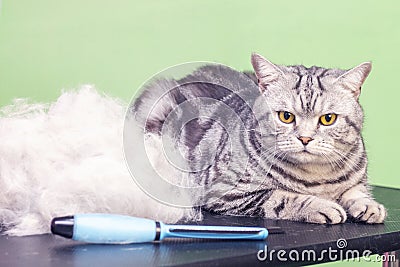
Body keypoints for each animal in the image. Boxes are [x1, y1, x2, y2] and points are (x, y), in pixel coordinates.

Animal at [132, 53, 388, 225]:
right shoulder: (226, 189)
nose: (305, 138)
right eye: (286, 116)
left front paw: (369, 205)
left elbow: (356, 190)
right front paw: (322, 205)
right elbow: (283, 197)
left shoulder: (356, 179)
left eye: (328, 119)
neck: (316, 177)